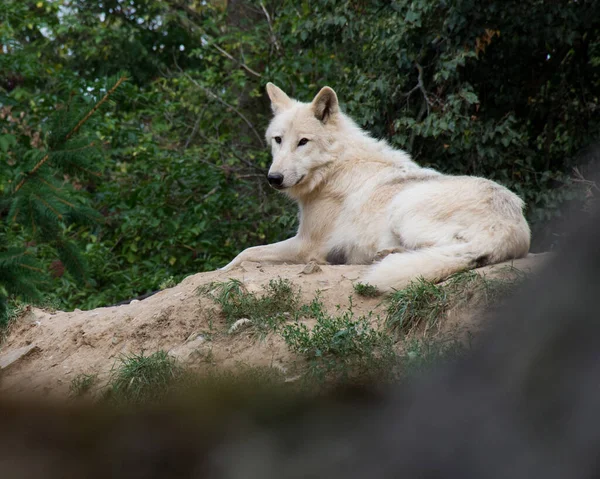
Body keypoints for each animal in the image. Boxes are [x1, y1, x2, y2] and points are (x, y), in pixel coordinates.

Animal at [224, 83, 528, 292]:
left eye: (303, 142)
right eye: (278, 140)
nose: (273, 178)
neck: (334, 167)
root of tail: (512, 224)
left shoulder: (305, 245)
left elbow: (243, 254)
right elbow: (245, 254)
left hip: (404, 209)